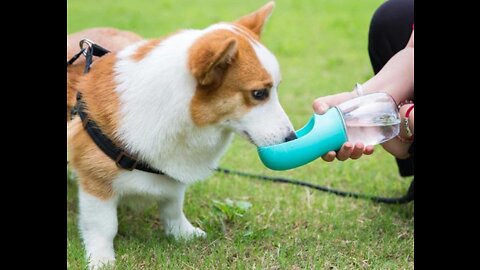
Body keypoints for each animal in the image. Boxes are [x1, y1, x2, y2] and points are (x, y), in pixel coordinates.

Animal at [65, 1, 294, 268]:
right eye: (259, 94)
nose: (292, 138)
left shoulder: (172, 171)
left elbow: (172, 206)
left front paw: (181, 233)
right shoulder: (96, 182)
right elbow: (103, 225)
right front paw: (102, 258)